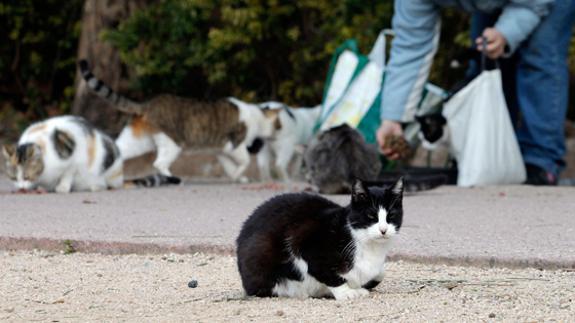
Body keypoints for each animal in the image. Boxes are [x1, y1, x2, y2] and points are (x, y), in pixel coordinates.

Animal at [79, 60, 280, 182]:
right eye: (279, 125)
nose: (280, 132)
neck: (257, 115)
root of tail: (147, 105)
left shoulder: (221, 150)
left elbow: (229, 167)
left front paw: (236, 178)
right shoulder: (235, 144)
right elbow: (245, 161)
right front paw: (239, 175)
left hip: (139, 141)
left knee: (117, 149)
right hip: (172, 143)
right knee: (159, 163)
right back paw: (173, 179)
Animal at [236, 178, 402, 300]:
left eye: (391, 216)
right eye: (371, 216)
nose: (383, 230)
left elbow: (380, 273)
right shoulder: (304, 242)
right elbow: (327, 273)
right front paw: (346, 292)